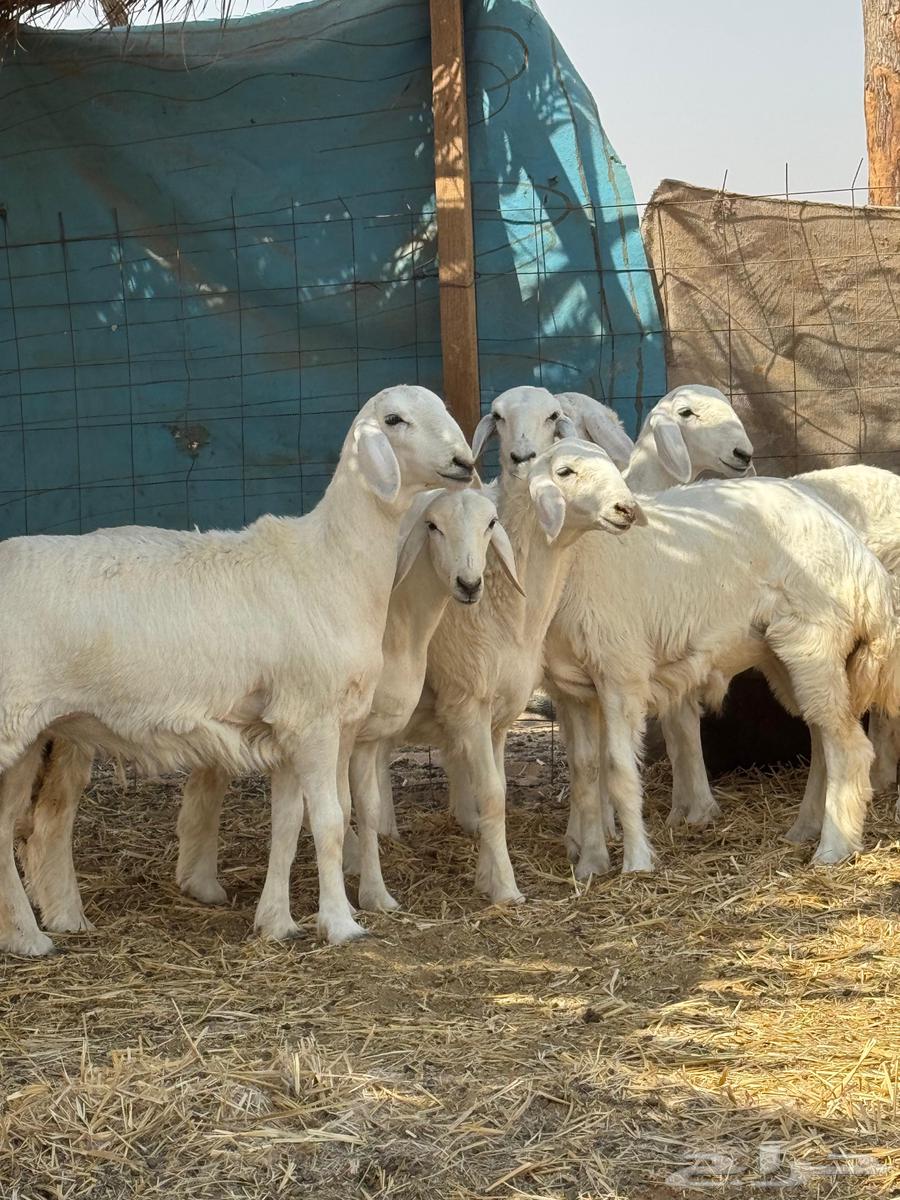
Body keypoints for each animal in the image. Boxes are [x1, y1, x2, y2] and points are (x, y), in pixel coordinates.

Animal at [0, 384, 474, 956]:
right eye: (396, 419)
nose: (465, 462)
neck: (335, 562)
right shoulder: (313, 721)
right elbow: (330, 821)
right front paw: (340, 924)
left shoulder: (290, 724)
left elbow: (287, 825)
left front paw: (277, 922)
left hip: (35, 733)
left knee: (11, 827)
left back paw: (31, 935)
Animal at [545, 475, 900, 880]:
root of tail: (866, 564)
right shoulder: (571, 687)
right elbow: (584, 771)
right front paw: (588, 860)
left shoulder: (619, 670)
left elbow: (618, 767)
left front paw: (633, 862)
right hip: (791, 653)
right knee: (824, 737)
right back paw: (806, 828)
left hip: (815, 639)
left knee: (849, 748)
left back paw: (833, 848)